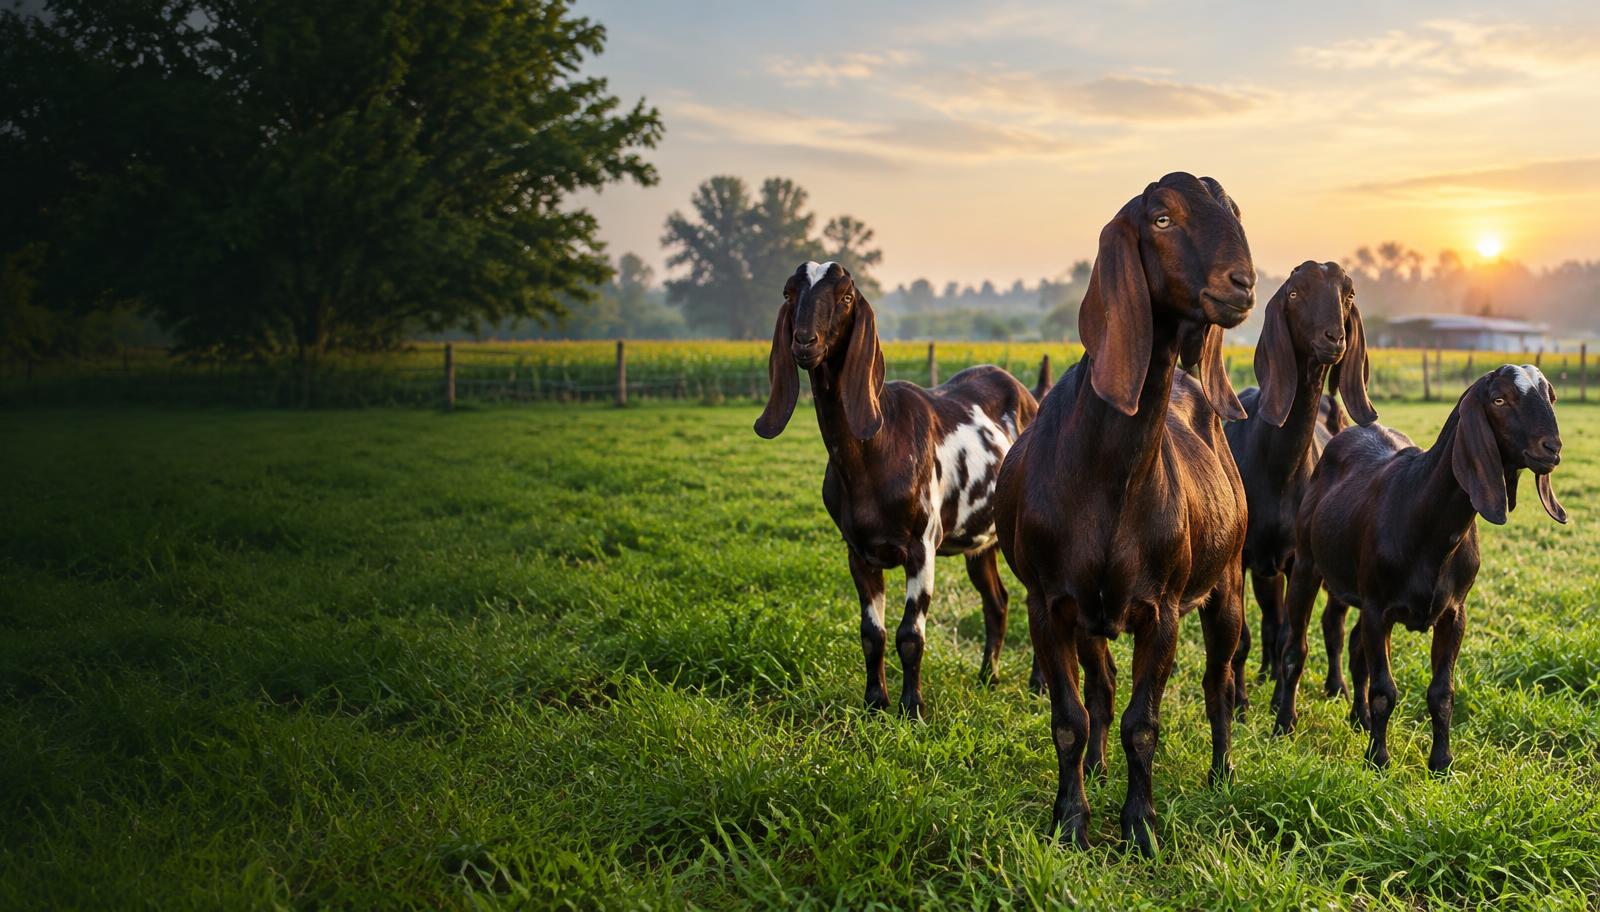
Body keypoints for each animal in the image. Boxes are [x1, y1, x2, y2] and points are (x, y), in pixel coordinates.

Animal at [755, 261, 1040, 718]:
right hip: (980, 542)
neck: (876, 447)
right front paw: (875, 702)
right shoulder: (858, 552)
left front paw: (913, 708)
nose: (804, 342)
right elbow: (872, 633)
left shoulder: (921, 547)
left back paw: (1038, 684)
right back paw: (988, 677)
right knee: (996, 602)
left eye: (846, 297)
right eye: (788, 293)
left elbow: (911, 634)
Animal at [993, 173, 1254, 854]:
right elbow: (1071, 718)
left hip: (1227, 584)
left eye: (1234, 211)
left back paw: (1222, 771)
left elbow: (1145, 722)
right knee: (1103, 689)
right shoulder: (1049, 603)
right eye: (1161, 218)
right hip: (1090, 616)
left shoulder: (1159, 609)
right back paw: (1097, 767)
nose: (1242, 283)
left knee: (1218, 682)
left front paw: (1140, 827)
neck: (1106, 477)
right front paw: (1070, 819)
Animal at [1224, 262, 1378, 708]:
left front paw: (1280, 700)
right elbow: (1243, 637)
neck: (1277, 466)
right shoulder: (1242, 557)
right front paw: (1240, 703)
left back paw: (1335, 685)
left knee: (1329, 624)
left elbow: (1294, 632)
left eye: (1348, 293)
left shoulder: (1298, 559)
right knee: (1271, 619)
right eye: (1294, 293)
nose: (1334, 338)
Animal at [1272, 365, 1567, 771]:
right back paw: (1285, 722)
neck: (1424, 514)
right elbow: (1384, 689)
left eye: (1551, 397)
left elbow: (1442, 692)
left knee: (1355, 650)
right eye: (1499, 400)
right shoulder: (1378, 608)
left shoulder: (1454, 613)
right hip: (1307, 564)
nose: (1551, 448)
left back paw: (1360, 719)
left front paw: (1441, 762)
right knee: (1295, 647)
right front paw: (1378, 759)